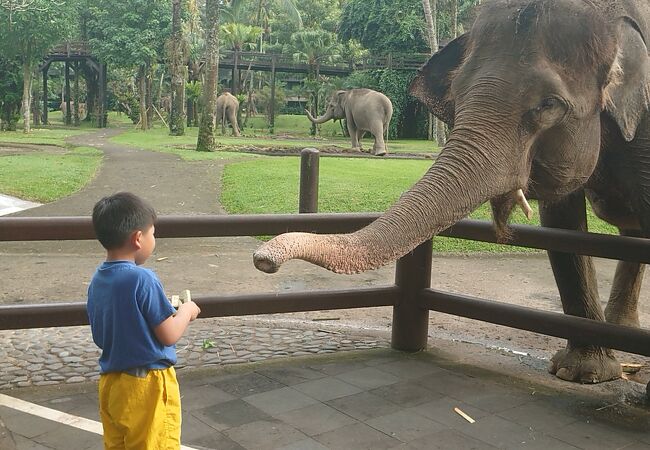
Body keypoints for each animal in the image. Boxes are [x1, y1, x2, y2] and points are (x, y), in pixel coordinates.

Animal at [254, 0, 650, 384]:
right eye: (457, 93)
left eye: (549, 104)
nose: (262, 259)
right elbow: (561, 227)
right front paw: (580, 373)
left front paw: (584, 373)